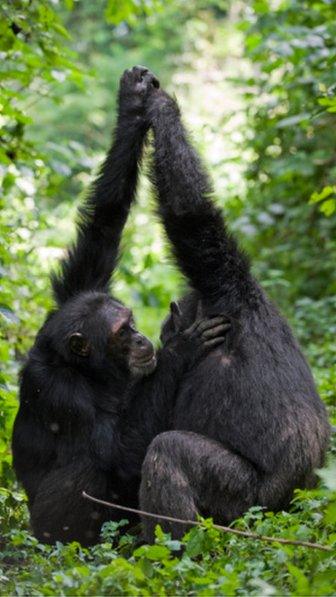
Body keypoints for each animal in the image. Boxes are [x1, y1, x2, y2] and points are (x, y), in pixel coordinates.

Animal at [11, 66, 231, 544]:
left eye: (130, 321)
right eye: (120, 333)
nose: (142, 339)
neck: (92, 369)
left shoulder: (80, 286)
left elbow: (105, 220)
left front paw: (132, 105)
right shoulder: (58, 392)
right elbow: (116, 452)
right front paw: (181, 347)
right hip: (45, 528)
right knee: (88, 469)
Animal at [138, 80, 330, 540]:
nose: (163, 334)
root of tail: (297, 506)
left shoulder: (219, 273)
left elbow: (189, 213)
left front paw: (160, 105)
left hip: (246, 502)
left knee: (169, 452)